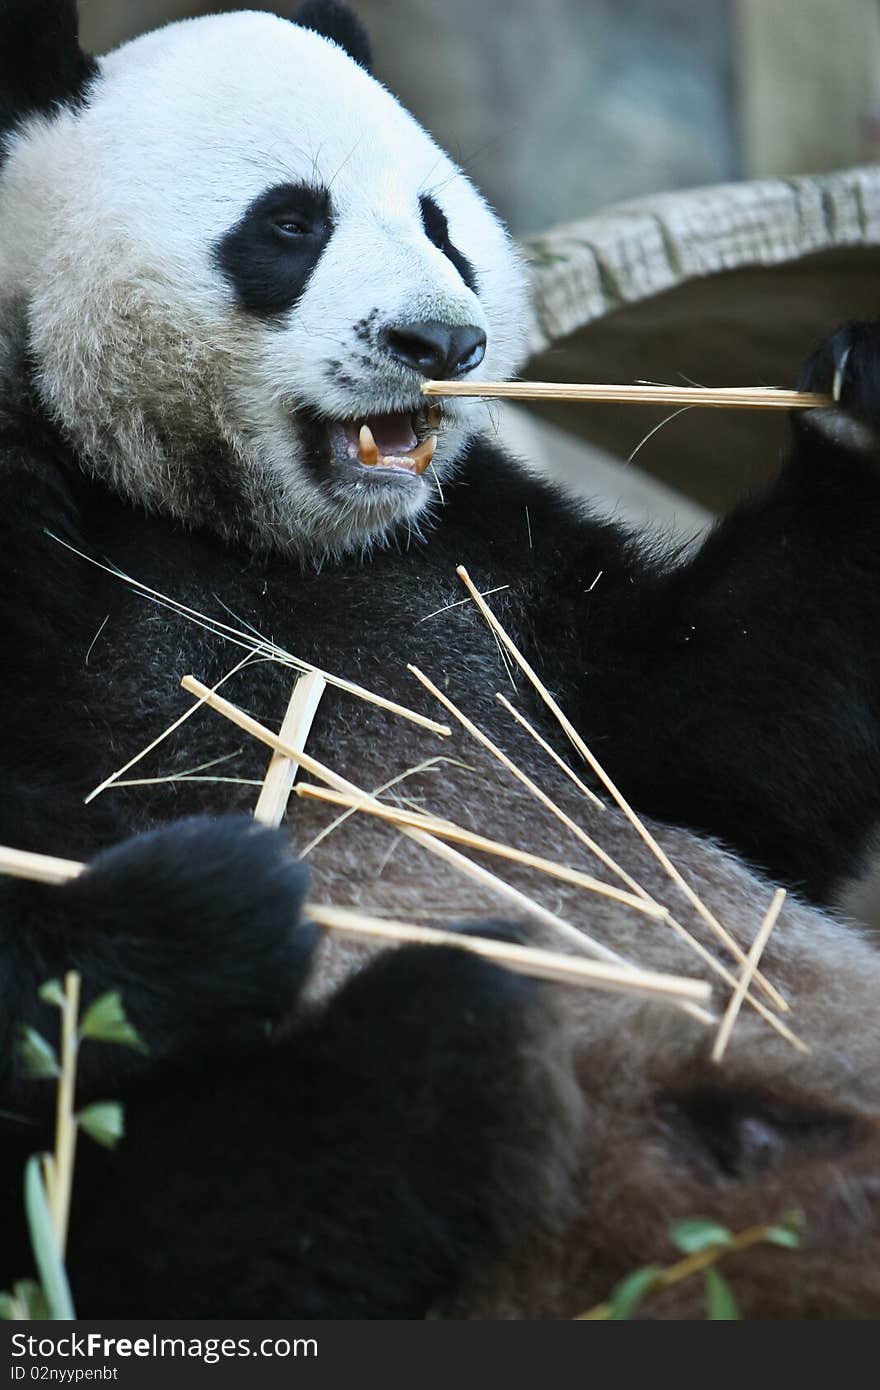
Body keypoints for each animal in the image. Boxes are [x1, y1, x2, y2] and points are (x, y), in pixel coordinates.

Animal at [0, 2, 873, 1323]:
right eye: (289, 223)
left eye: (438, 224)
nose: (440, 338)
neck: (235, 529)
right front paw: (221, 903)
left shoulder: (483, 561)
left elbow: (715, 743)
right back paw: (454, 1044)